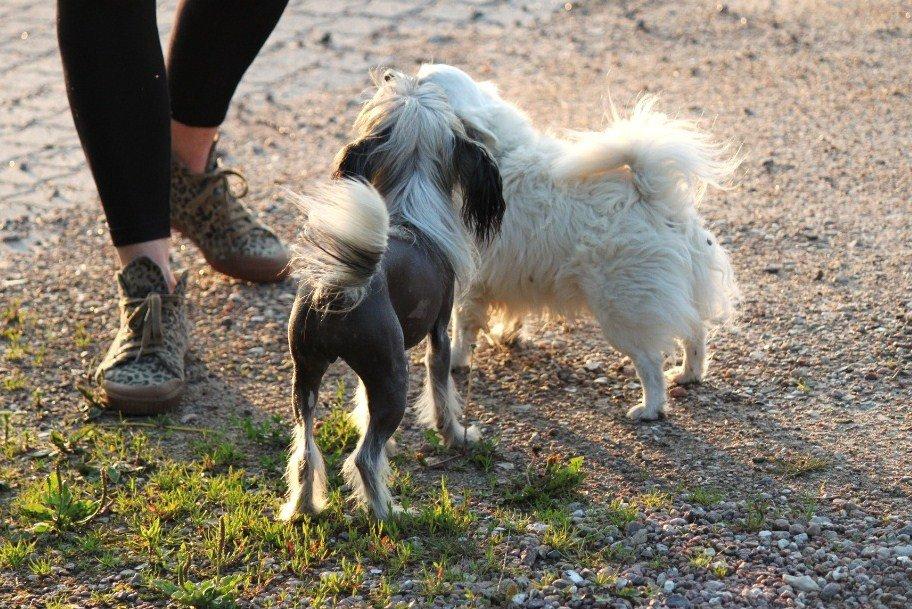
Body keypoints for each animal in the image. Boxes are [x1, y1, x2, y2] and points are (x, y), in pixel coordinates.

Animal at [420, 64, 740, 420]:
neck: (497, 152)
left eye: (423, 84)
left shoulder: (472, 283)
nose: (392, 75)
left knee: (651, 363)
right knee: (695, 333)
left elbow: (463, 327)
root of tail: (655, 199)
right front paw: (508, 335)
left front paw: (457, 361)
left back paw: (649, 409)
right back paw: (688, 375)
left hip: (623, 311)